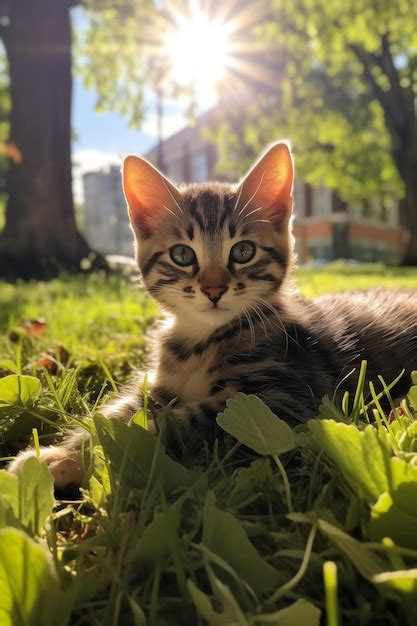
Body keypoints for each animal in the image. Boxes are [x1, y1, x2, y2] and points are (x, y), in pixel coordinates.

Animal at [7, 143, 416, 488]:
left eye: (244, 251)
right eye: (182, 255)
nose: (214, 289)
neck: (201, 341)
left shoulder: (284, 397)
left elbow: (165, 426)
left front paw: (89, 456)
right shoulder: (159, 386)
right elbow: (112, 415)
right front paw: (57, 456)